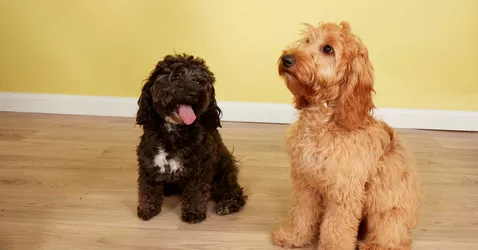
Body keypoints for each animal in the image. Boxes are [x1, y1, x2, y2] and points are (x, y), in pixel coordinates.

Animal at [134, 53, 246, 224]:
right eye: (175, 77)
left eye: (200, 81)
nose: (194, 94)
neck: (175, 131)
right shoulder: (149, 163)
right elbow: (148, 190)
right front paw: (147, 209)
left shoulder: (200, 169)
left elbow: (196, 193)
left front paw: (193, 213)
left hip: (222, 173)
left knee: (235, 192)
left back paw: (226, 204)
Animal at [270, 21, 420, 250]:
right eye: (307, 40)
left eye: (328, 49)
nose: (287, 59)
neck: (322, 124)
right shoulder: (305, 181)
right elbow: (301, 212)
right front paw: (293, 236)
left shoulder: (344, 190)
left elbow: (336, 227)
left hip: (389, 212)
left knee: (396, 239)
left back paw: (375, 245)